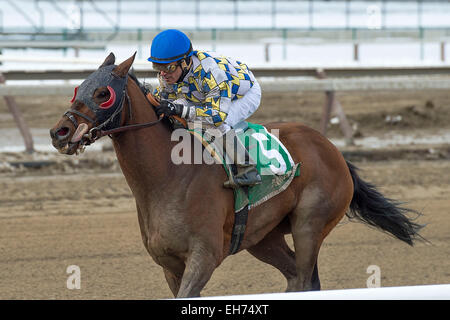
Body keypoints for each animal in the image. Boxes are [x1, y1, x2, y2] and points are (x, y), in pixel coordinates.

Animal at [51, 52, 424, 298]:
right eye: (78, 88)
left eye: (103, 93)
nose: (59, 132)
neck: (167, 178)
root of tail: (332, 149)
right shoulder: (169, 265)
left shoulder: (203, 256)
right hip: (263, 237)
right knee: (295, 277)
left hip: (309, 225)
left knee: (306, 278)